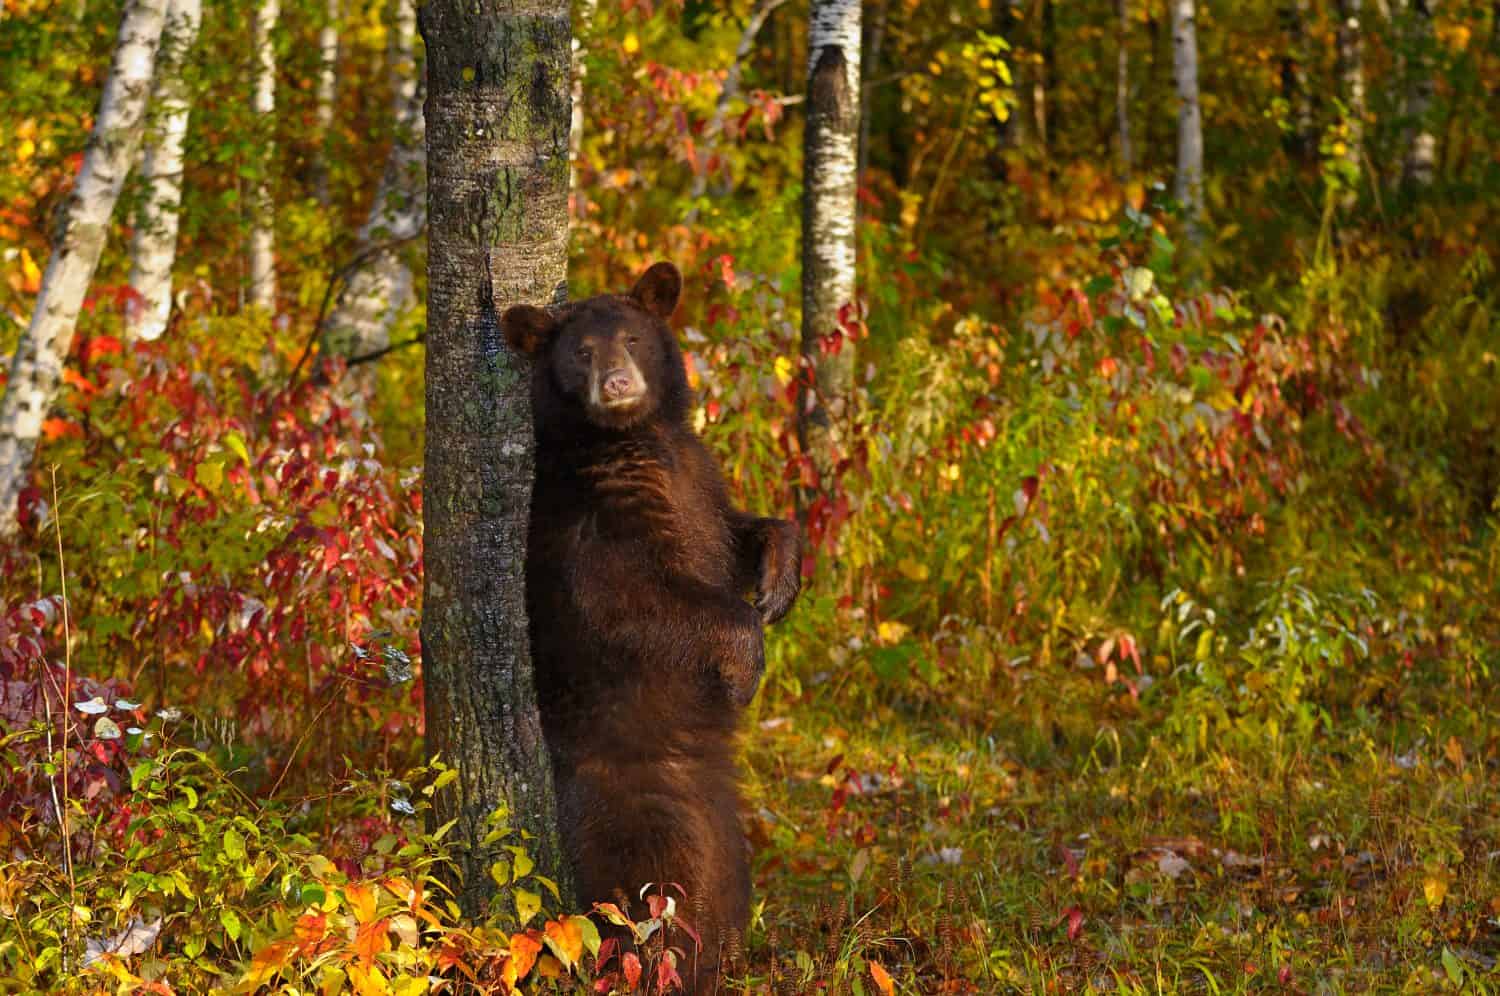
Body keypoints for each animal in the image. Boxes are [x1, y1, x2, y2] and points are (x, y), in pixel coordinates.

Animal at [502, 261, 801, 994]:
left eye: (632, 338)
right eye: (580, 352)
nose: (615, 382)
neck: (634, 439)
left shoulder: (699, 479)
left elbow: (735, 532)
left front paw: (780, 578)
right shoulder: (595, 519)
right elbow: (635, 598)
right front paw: (746, 665)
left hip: (726, 832)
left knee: (723, 890)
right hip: (639, 813)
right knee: (653, 902)